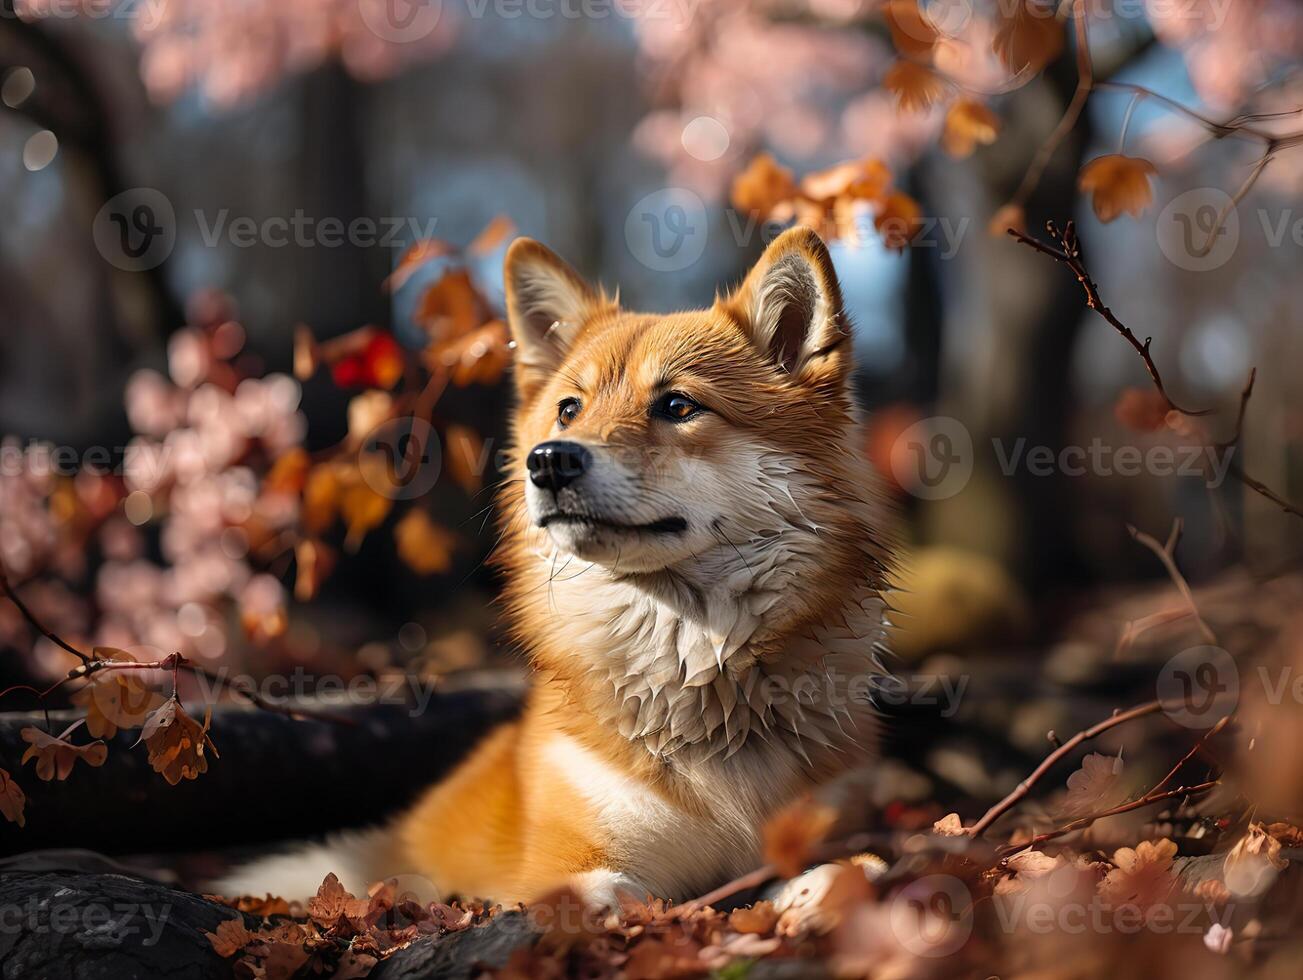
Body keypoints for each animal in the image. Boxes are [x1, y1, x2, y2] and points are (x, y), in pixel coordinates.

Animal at [216, 228, 896, 912]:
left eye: (678, 405)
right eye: (570, 409)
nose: (548, 461)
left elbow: (850, 870)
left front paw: (815, 891)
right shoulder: (564, 860)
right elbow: (611, 894)